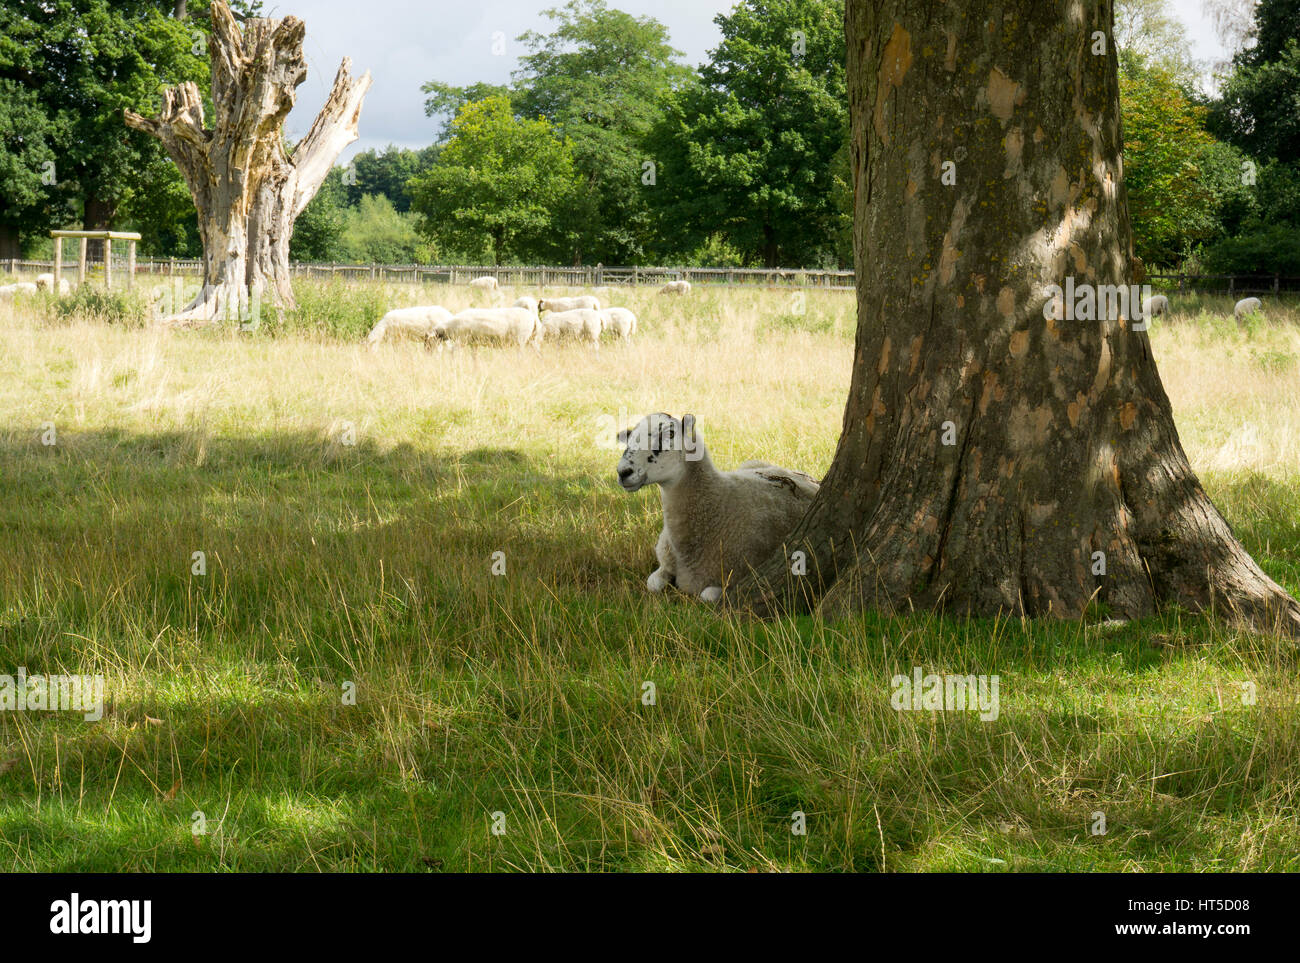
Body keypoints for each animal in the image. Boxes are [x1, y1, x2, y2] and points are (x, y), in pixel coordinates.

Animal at [615, 413, 819, 602]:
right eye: (631, 436)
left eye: (670, 433)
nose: (623, 472)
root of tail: (801, 474)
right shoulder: (665, 562)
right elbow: (652, 584)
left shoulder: (734, 581)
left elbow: (707, 595)